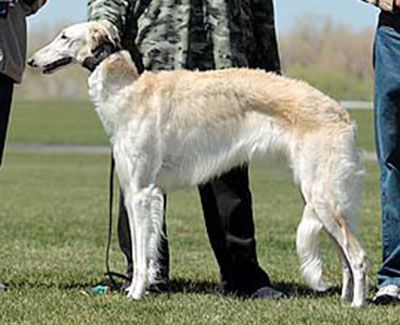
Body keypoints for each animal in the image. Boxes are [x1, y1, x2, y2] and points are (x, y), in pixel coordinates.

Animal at [28, 20, 368, 306]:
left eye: (64, 36)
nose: (32, 61)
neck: (129, 90)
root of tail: (343, 114)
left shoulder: (141, 193)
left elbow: (141, 255)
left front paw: (135, 293)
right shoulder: (133, 190)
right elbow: (143, 249)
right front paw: (137, 289)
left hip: (321, 196)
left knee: (358, 255)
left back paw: (358, 305)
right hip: (321, 197)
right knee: (344, 258)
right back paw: (344, 300)